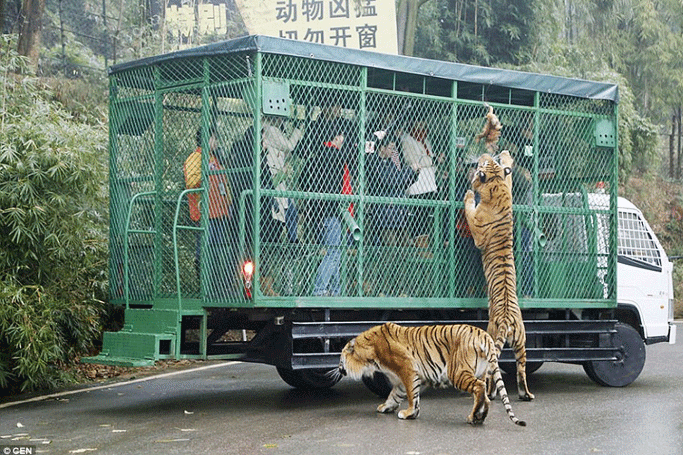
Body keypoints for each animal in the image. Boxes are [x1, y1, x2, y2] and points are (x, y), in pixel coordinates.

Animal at [340, 322, 528, 426]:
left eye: (341, 359)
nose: (339, 369)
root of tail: (484, 335)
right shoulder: (403, 380)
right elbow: (395, 395)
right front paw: (388, 407)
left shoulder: (407, 370)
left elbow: (411, 395)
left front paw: (408, 413)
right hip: (479, 372)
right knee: (485, 396)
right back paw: (477, 417)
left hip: (457, 372)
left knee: (479, 388)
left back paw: (475, 417)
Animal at [464, 151, 536, 400]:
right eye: (490, 161)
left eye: (483, 163)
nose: (485, 154)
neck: (495, 183)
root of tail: (507, 320)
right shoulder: (509, 186)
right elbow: (511, 176)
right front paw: (507, 156)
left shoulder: (477, 229)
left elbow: (469, 209)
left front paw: (468, 193)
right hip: (522, 341)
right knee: (521, 370)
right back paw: (526, 395)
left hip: (491, 333)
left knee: (490, 372)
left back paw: (491, 393)